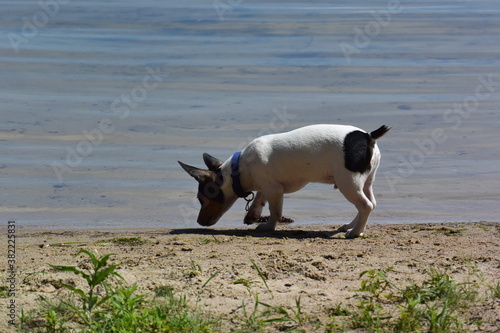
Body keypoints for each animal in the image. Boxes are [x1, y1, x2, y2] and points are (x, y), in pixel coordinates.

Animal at [179, 123, 390, 237]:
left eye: (201, 199)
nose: (198, 221)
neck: (239, 169)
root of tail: (368, 137)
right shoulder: (267, 186)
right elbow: (259, 200)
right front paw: (252, 215)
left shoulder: (274, 190)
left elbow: (275, 210)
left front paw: (268, 226)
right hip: (365, 182)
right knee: (370, 203)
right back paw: (351, 226)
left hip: (349, 183)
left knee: (365, 206)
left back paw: (354, 233)